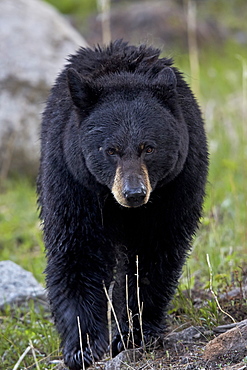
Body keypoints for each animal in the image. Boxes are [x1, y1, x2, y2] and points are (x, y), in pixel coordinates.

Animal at [37, 40, 208, 370]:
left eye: (149, 148)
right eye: (110, 150)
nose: (134, 193)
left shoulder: (175, 186)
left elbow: (153, 255)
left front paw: (134, 333)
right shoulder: (72, 180)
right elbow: (77, 249)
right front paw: (82, 347)